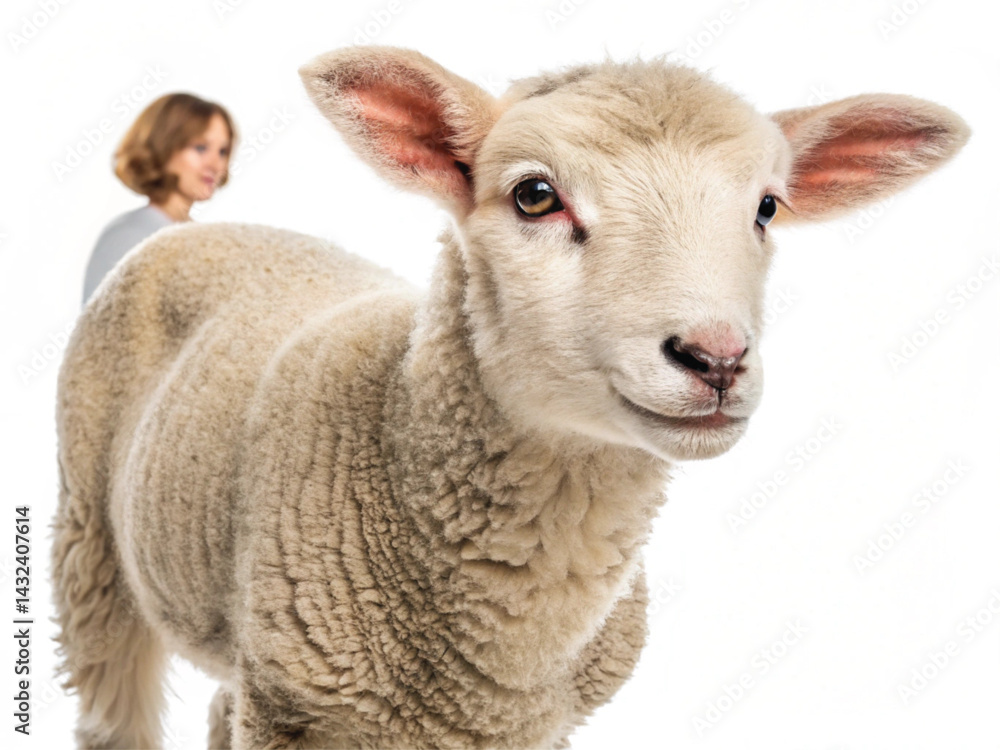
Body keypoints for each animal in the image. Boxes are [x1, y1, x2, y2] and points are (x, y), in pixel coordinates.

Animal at [51, 45, 969, 750]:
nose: (716, 358)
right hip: (92, 544)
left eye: (768, 208)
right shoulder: (296, 713)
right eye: (535, 195)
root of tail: (202, 229)